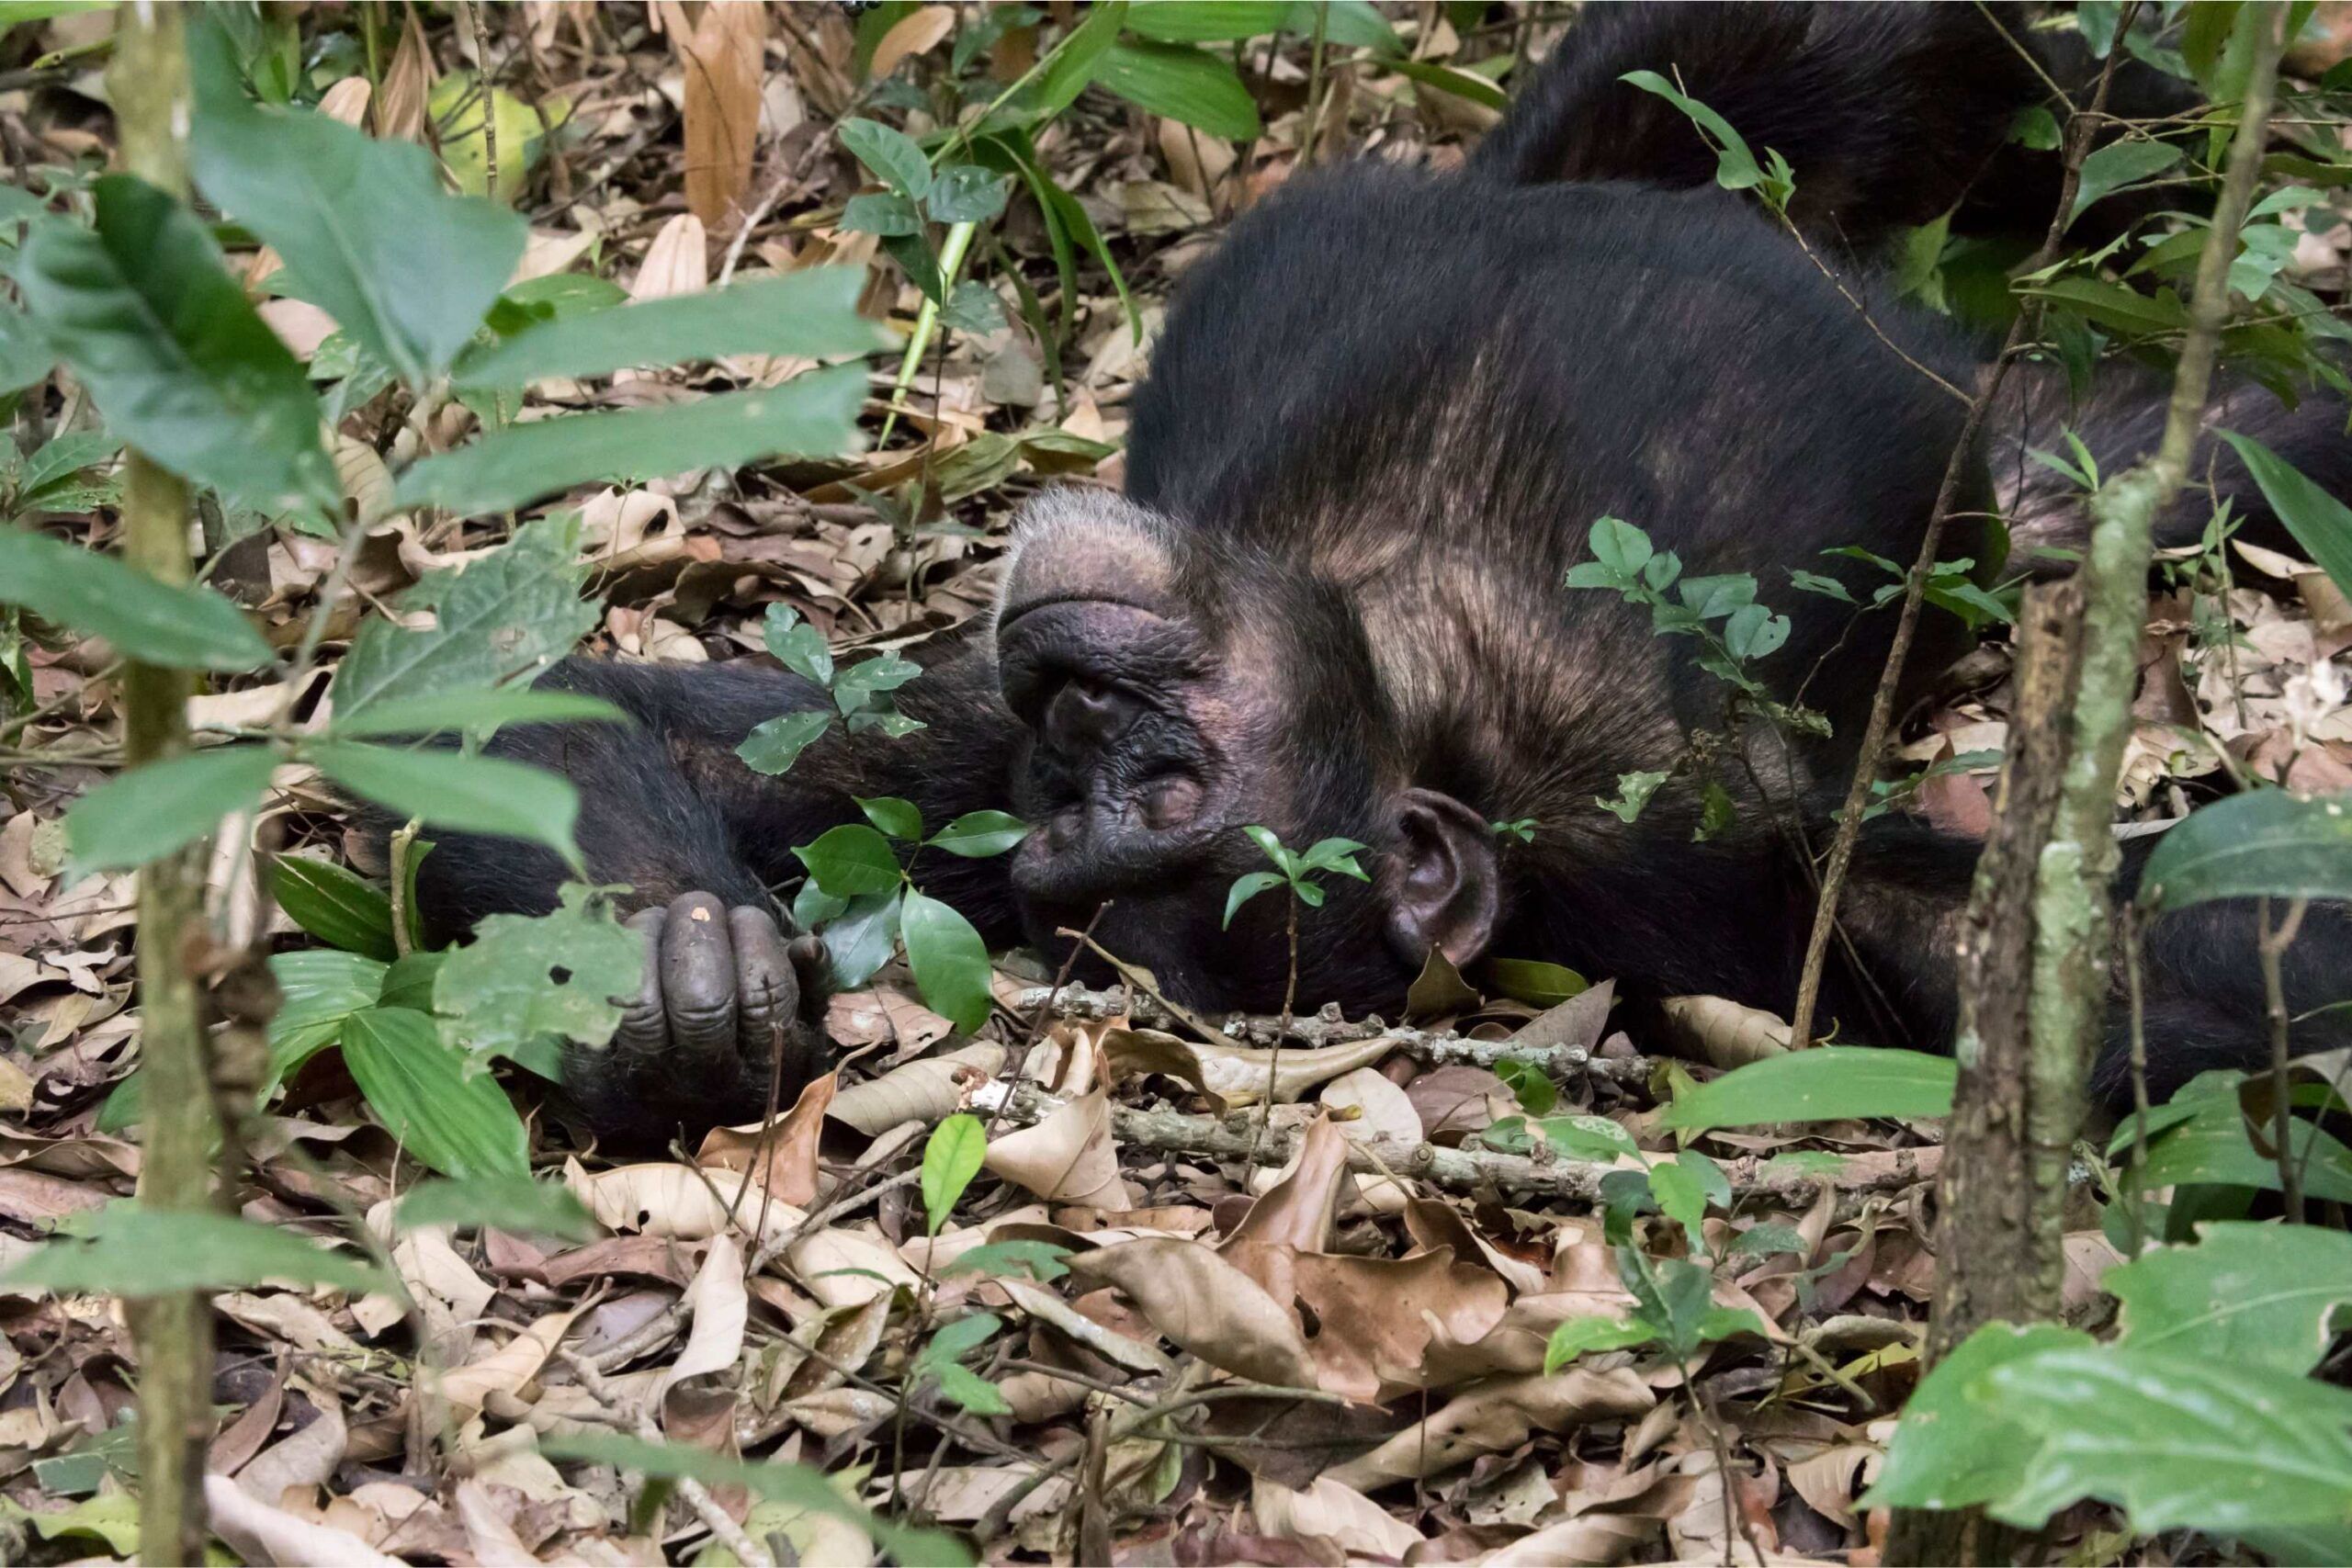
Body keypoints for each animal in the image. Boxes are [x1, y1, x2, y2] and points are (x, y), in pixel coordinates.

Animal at [402, 4, 2352, 1144]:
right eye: (1067, 814)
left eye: (1158, 783)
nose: (1082, 717)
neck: (1427, 657)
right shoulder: (964, 743)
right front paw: (673, 980)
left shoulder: (1695, 825)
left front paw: (666, 974)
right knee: (2119, 452)